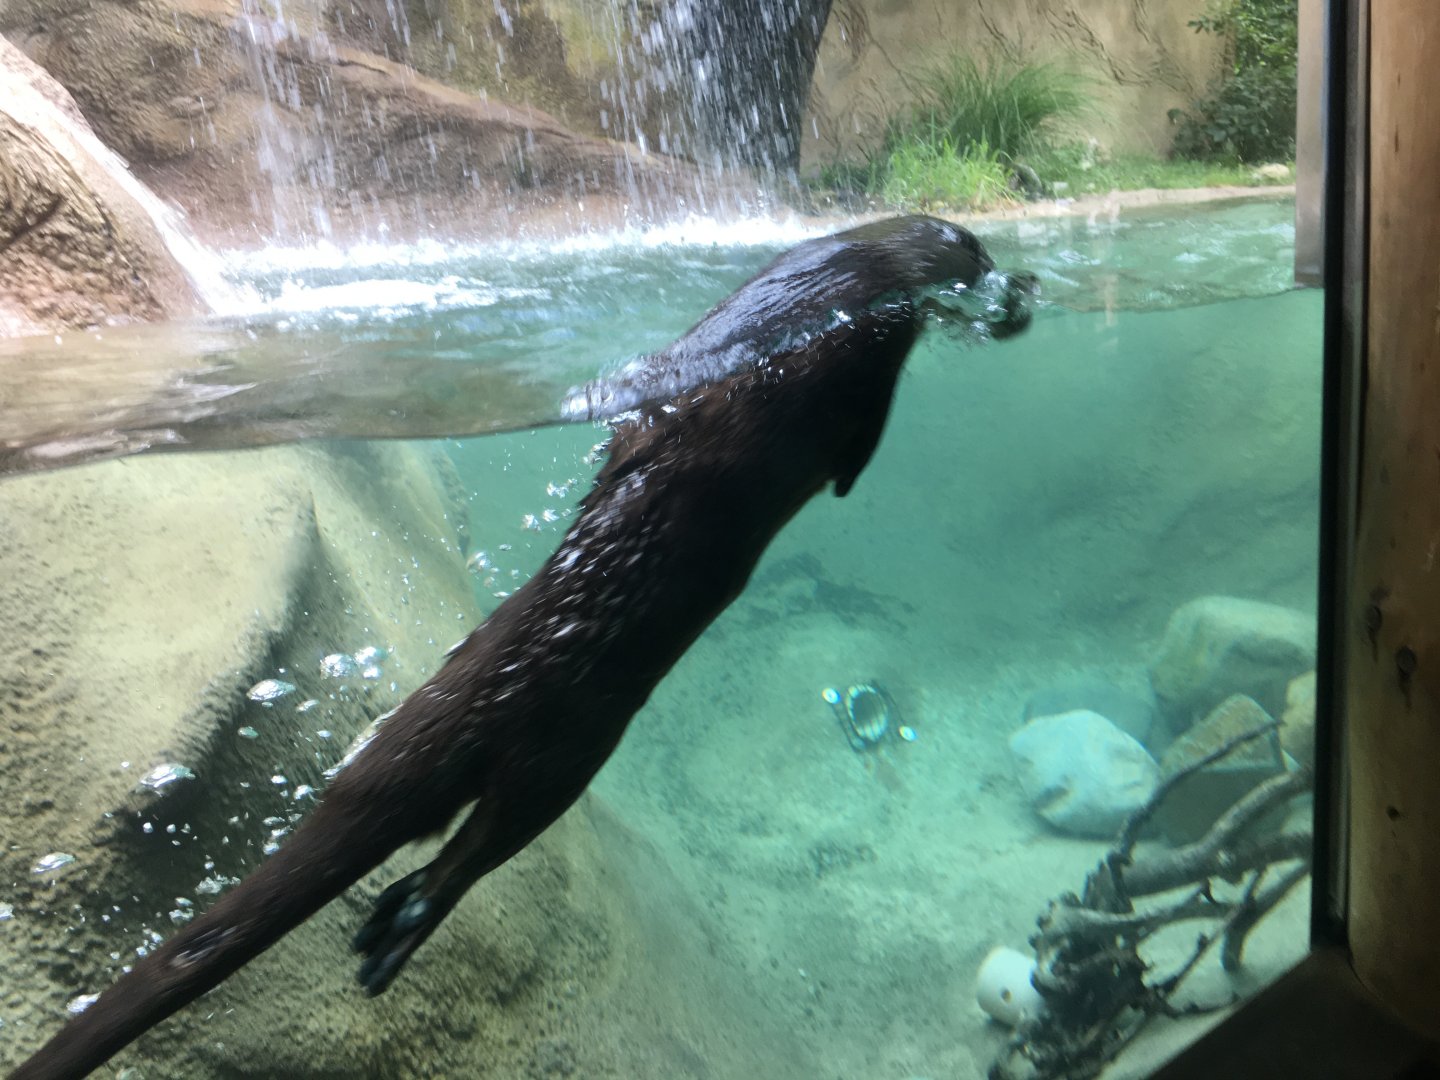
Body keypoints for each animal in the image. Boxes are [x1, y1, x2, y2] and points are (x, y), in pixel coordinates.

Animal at [9, 215, 1033, 1080]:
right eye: (979, 253)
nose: (1021, 288)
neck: (840, 277)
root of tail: (487, 683)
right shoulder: (861, 350)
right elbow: (860, 437)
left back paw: (383, 921)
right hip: (566, 754)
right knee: (483, 844)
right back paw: (403, 925)